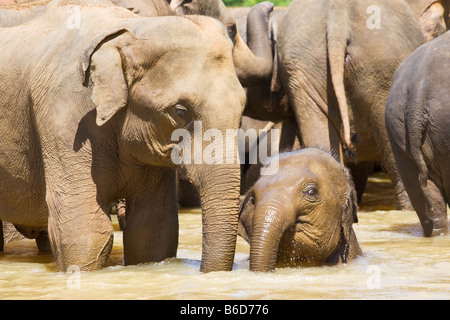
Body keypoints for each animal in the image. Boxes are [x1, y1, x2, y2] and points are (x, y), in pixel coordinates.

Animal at [0, 0, 246, 272]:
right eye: (181, 112)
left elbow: (153, 230)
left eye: (242, 108)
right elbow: (84, 233)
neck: (129, 30)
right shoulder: (64, 117)